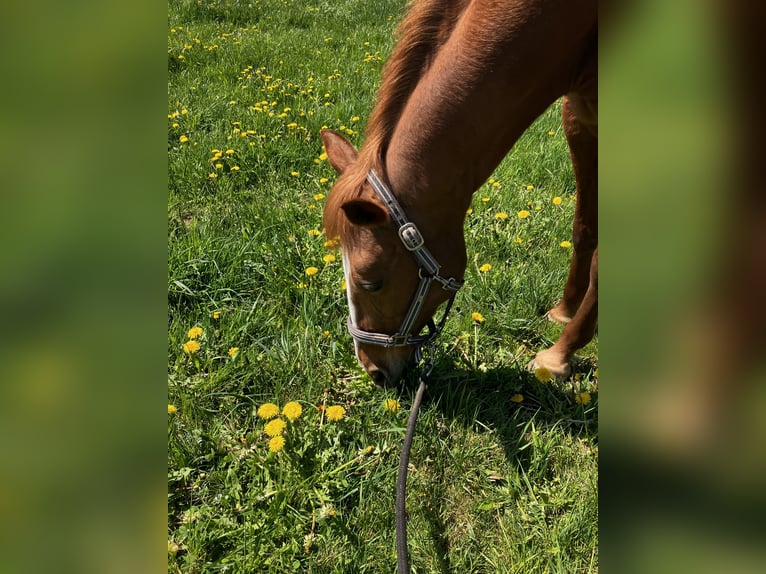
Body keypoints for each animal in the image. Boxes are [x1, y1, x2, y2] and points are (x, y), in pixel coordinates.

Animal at [322, 0, 597, 386]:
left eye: (371, 282)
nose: (373, 370)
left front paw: (558, 355)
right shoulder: (579, 118)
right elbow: (584, 227)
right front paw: (565, 311)